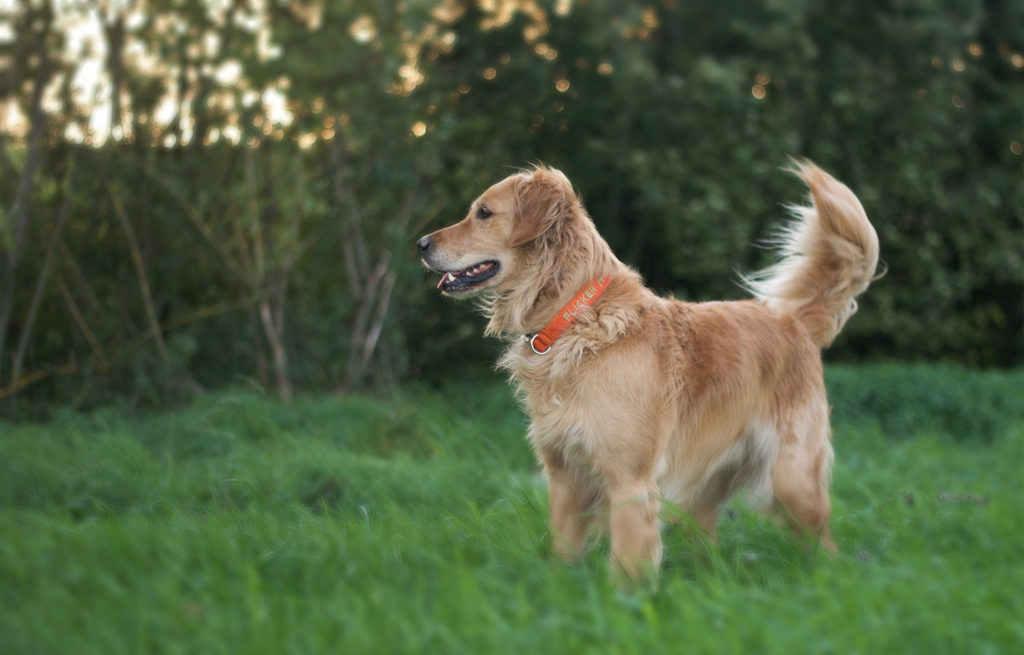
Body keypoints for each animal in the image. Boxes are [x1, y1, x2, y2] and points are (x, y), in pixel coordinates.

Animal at [415, 162, 880, 577]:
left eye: (484, 213)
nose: (419, 243)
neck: (577, 319)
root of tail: (792, 319)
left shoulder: (629, 481)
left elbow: (628, 568)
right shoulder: (565, 479)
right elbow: (563, 557)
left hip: (793, 478)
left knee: (824, 544)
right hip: (708, 486)